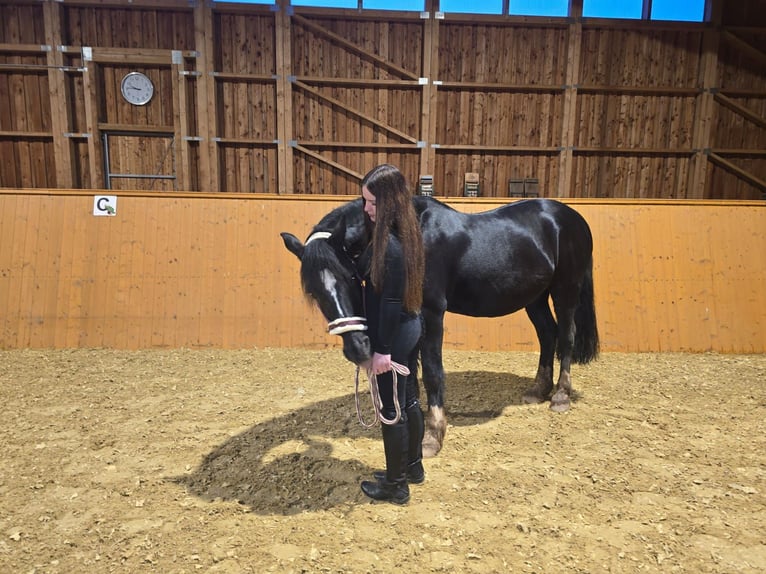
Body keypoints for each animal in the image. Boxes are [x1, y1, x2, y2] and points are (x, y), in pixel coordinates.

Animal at [281, 196, 599, 457]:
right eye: (313, 292)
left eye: (349, 276)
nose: (357, 349)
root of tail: (573, 217)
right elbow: (408, 371)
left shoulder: (432, 312)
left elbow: (432, 372)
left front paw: (433, 436)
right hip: (534, 297)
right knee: (547, 334)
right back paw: (538, 390)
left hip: (565, 291)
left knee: (566, 337)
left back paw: (560, 396)